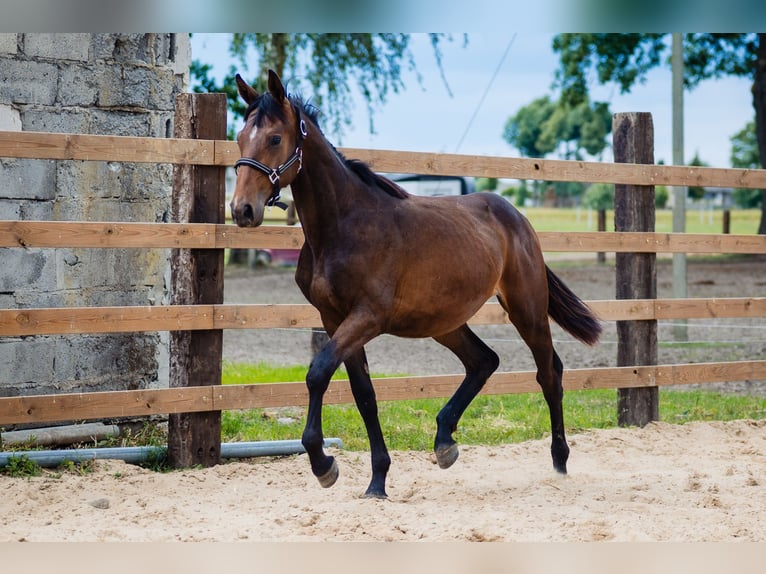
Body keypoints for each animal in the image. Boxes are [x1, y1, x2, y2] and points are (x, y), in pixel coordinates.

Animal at [230, 70, 602, 499]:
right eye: (239, 137)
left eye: (275, 138)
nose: (242, 210)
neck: (344, 225)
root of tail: (516, 216)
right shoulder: (333, 318)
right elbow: (364, 394)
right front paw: (377, 481)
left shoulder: (367, 317)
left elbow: (318, 372)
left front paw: (324, 465)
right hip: (444, 322)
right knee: (484, 361)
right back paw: (444, 442)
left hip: (526, 308)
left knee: (549, 373)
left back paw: (559, 462)